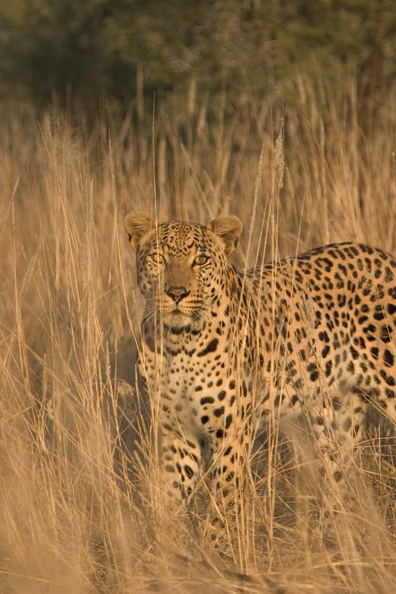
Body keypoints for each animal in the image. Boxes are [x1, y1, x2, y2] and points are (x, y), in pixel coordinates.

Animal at [125, 210, 396, 520]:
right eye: (159, 258)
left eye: (201, 260)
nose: (177, 293)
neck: (178, 343)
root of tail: (382, 256)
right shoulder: (177, 433)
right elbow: (170, 496)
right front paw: (163, 532)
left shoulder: (231, 435)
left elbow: (224, 503)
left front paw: (216, 534)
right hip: (335, 413)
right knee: (339, 476)